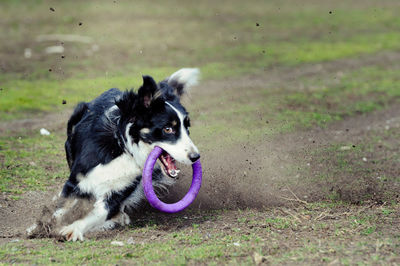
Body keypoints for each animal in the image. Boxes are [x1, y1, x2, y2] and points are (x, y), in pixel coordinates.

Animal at [29, 68, 202, 241]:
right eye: (168, 129)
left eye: (187, 128)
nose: (195, 157)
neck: (123, 148)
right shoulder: (79, 178)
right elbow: (63, 205)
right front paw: (42, 226)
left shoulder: (122, 189)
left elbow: (101, 212)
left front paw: (73, 228)